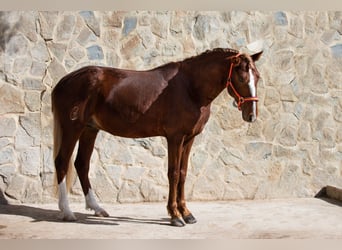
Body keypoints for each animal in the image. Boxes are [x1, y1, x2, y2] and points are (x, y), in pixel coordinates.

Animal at [52, 48, 262, 227]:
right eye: (242, 77)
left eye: (257, 77)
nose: (251, 115)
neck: (190, 88)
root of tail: (65, 81)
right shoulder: (175, 138)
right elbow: (173, 174)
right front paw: (175, 215)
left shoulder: (189, 139)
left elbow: (183, 173)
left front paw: (187, 213)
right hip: (72, 128)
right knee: (62, 162)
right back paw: (67, 212)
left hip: (90, 130)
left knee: (81, 164)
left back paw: (96, 208)